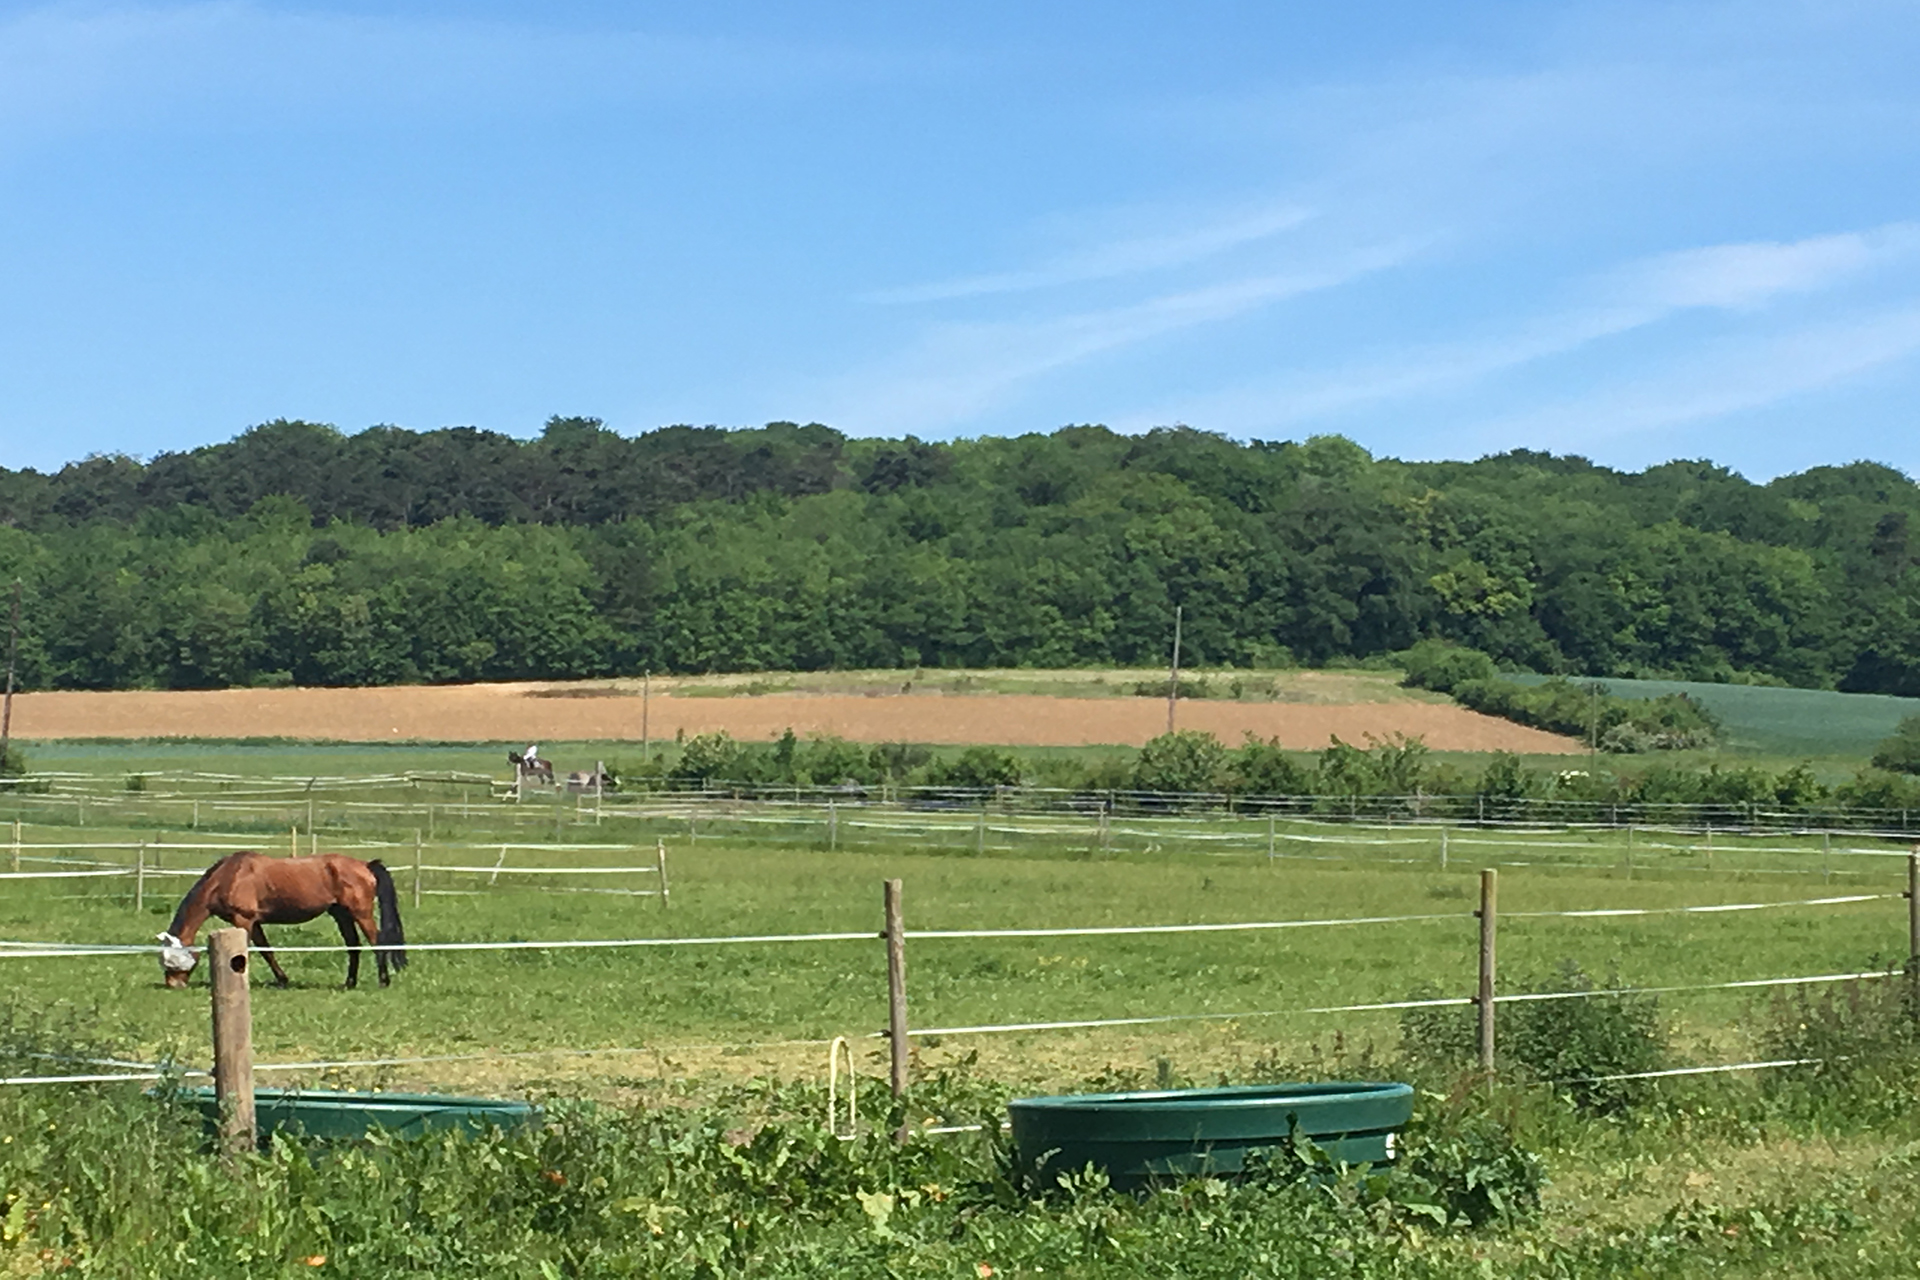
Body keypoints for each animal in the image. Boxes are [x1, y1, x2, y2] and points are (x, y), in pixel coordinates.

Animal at [158, 855, 408, 997]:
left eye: (172, 961)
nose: (173, 985)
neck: (229, 875)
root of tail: (365, 865)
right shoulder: (254, 923)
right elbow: (267, 951)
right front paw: (282, 980)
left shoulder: (243, 920)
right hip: (342, 915)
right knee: (353, 946)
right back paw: (349, 983)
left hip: (360, 913)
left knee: (376, 942)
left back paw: (383, 981)